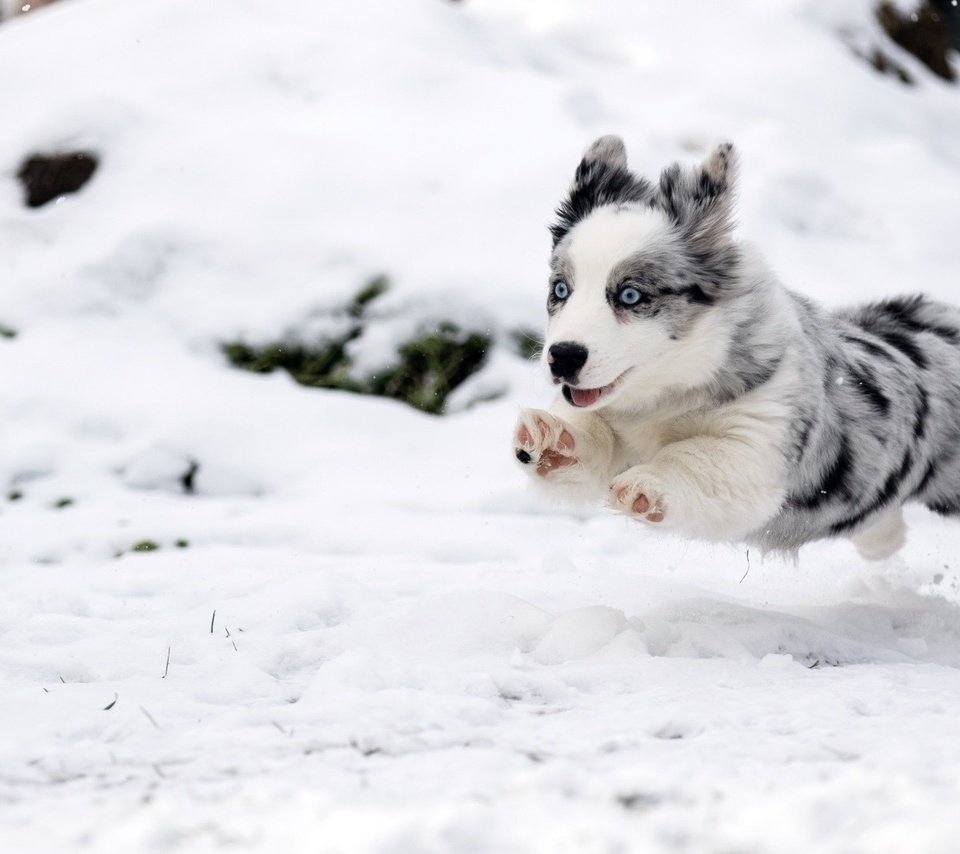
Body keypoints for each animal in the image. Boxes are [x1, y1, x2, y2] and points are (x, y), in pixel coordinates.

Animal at [510, 136, 960, 560]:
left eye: (631, 295)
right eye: (561, 290)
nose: (563, 357)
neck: (666, 393)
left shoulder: (758, 444)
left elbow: (697, 456)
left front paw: (647, 483)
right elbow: (591, 440)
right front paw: (551, 439)